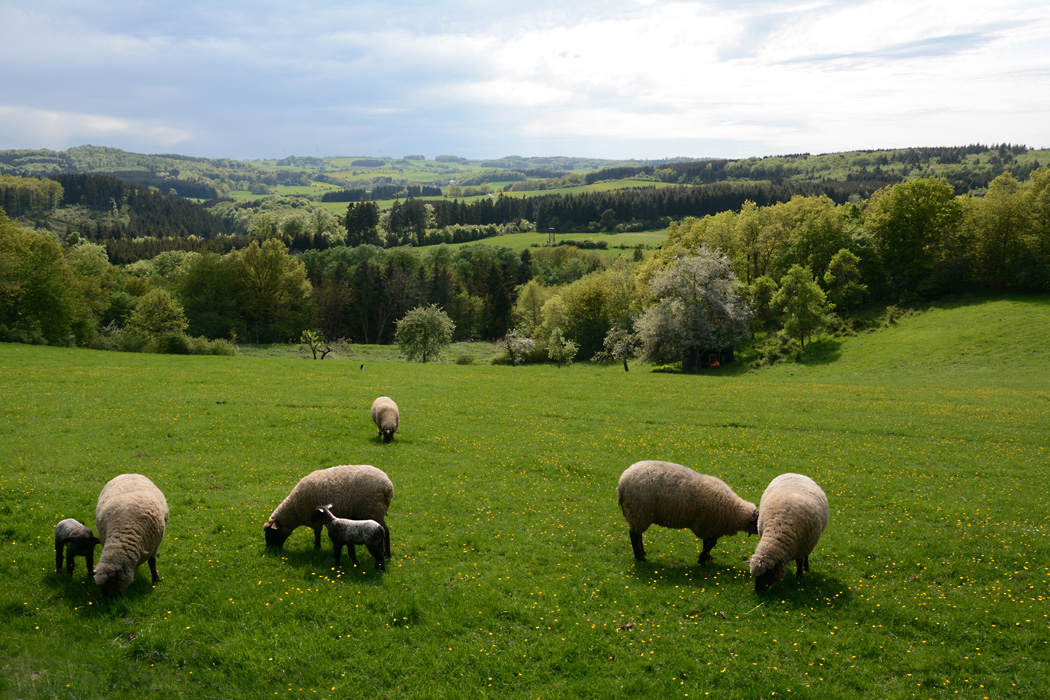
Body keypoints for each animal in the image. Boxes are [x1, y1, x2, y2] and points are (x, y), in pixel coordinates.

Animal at [262, 465, 394, 558]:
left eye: (270, 533)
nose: (270, 550)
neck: (294, 510)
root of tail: (388, 486)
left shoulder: (313, 519)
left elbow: (317, 533)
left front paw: (317, 547)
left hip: (374, 510)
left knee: (386, 531)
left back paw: (387, 554)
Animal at [613, 461, 760, 566]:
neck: (734, 510)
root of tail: (621, 483)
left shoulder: (711, 527)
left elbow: (708, 543)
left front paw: (707, 556)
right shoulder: (705, 525)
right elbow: (711, 543)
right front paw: (702, 559)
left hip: (638, 515)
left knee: (638, 535)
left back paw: (643, 553)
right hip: (639, 513)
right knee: (634, 535)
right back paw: (640, 557)